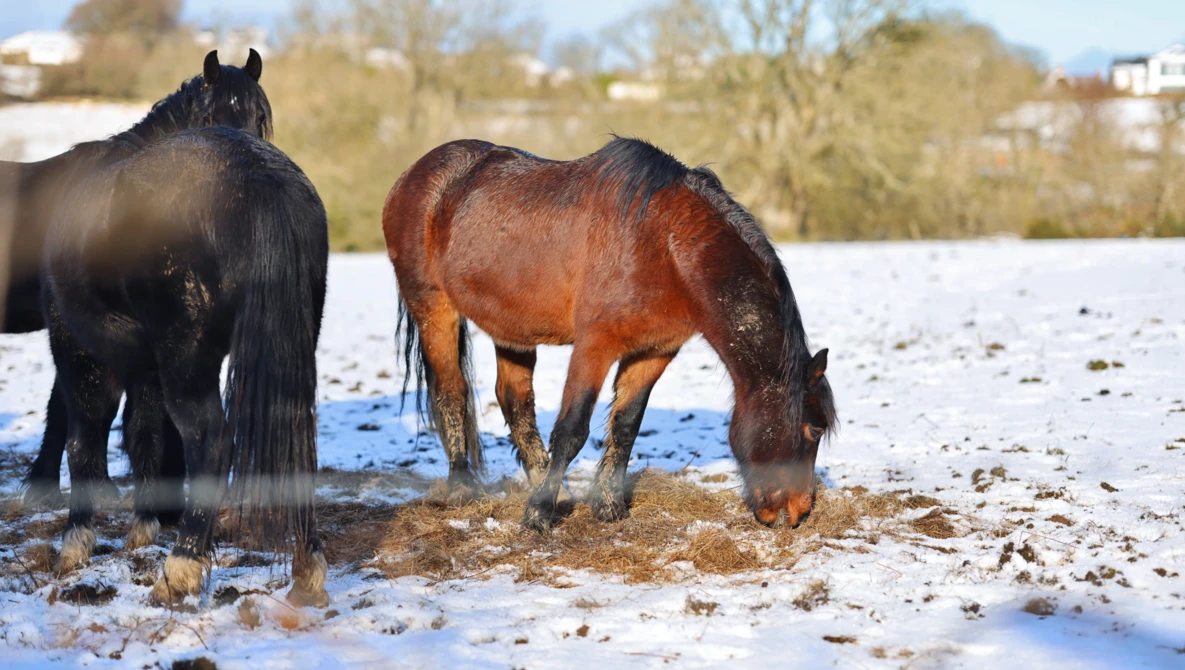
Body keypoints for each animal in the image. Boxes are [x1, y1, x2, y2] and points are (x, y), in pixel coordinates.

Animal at [38, 53, 331, 607]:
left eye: (262, 117)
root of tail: (260, 176)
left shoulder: (81, 353)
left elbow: (84, 442)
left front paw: (75, 544)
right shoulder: (145, 366)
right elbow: (145, 438)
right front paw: (142, 530)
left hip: (185, 358)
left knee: (208, 438)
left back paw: (182, 567)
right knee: (295, 431)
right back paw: (307, 567)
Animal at [382, 136, 837, 532]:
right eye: (813, 430)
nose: (797, 512)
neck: (664, 245)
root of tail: (415, 175)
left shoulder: (655, 351)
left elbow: (626, 424)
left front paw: (607, 506)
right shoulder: (595, 345)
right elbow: (572, 429)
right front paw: (538, 515)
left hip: (511, 328)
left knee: (514, 401)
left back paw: (554, 489)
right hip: (434, 307)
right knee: (451, 393)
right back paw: (464, 490)